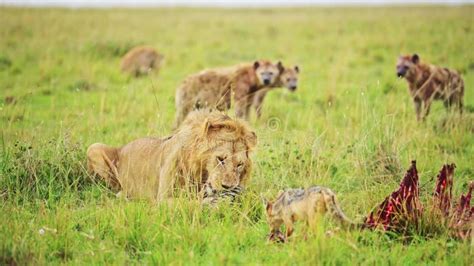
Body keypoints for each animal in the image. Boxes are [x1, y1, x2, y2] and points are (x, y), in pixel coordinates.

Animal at [85, 109, 256, 203]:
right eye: (220, 159)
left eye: (239, 164)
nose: (228, 187)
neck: (201, 172)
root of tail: (124, 146)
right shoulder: (165, 197)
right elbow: (189, 204)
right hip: (93, 147)